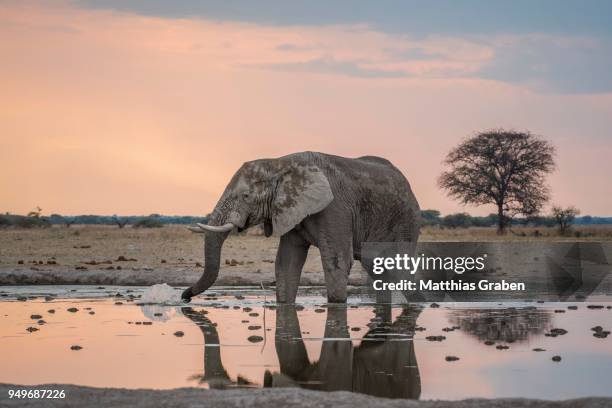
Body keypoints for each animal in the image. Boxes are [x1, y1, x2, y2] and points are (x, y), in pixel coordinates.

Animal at [183, 151, 420, 302]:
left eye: (246, 196)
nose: (185, 297)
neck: (278, 163)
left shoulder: (335, 208)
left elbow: (337, 260)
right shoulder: (290, 209)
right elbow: (287, 262)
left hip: (405, 222)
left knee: (401, 268)